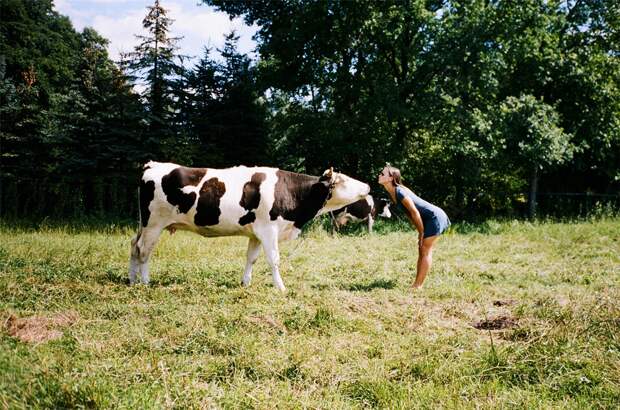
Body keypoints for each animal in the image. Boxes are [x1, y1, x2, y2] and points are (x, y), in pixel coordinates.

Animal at [126, 161, 368, 292]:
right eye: (344, 180)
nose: (367, 185)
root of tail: (153, 165)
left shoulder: (256, 233)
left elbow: (251, 258)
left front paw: (246, 283)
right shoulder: (269, 230)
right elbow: (274, 260)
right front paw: (281, 288)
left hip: (144, 225)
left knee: (134, 246)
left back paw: (132, 280)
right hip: (154, 223)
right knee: (144, 251)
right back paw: (145, 282)